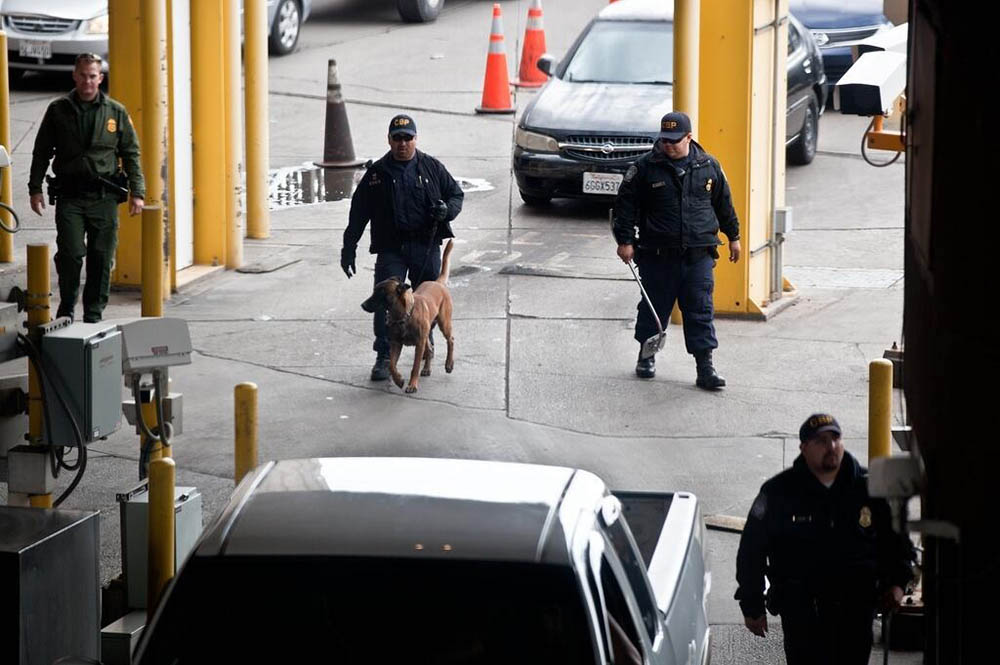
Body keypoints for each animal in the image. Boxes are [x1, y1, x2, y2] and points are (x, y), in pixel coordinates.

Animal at [362, 240, 456, 392]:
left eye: (381, 293)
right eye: (374, 290)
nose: (363, 305)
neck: (404, 316)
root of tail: (437, 282)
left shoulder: (419, 344)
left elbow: (415, 366)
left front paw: (412, 385)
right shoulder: (396, 343)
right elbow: (391, 365)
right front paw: (399, 380)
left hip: (444, 323)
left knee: (450, 340)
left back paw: (449, 364)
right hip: (427, 333)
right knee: (430, 349)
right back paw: (427, 369)